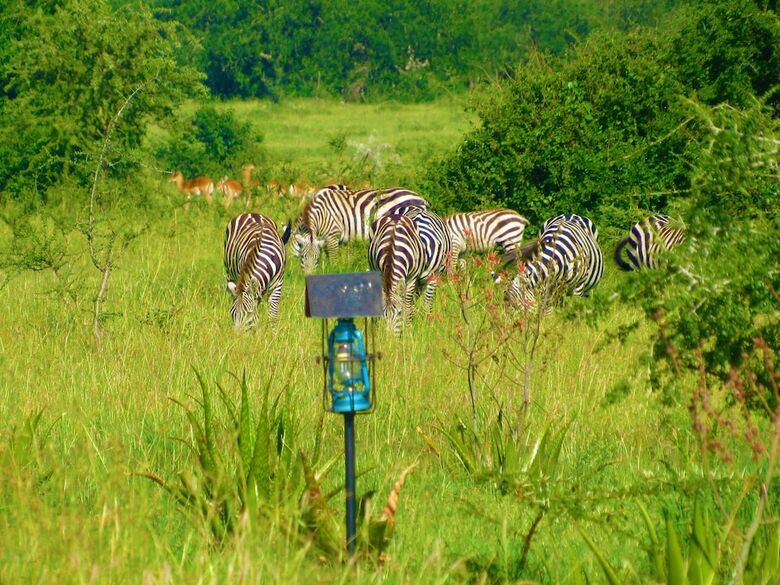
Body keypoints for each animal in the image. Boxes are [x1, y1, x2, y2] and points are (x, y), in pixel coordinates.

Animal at [292, 186, 428, 272]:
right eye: (303, 257)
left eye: (315, 258)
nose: (307, 276)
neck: (321, 214)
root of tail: (421, 198)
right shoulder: (324, 239)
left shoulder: (332, 235)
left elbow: (333, 258)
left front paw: (332, 271)